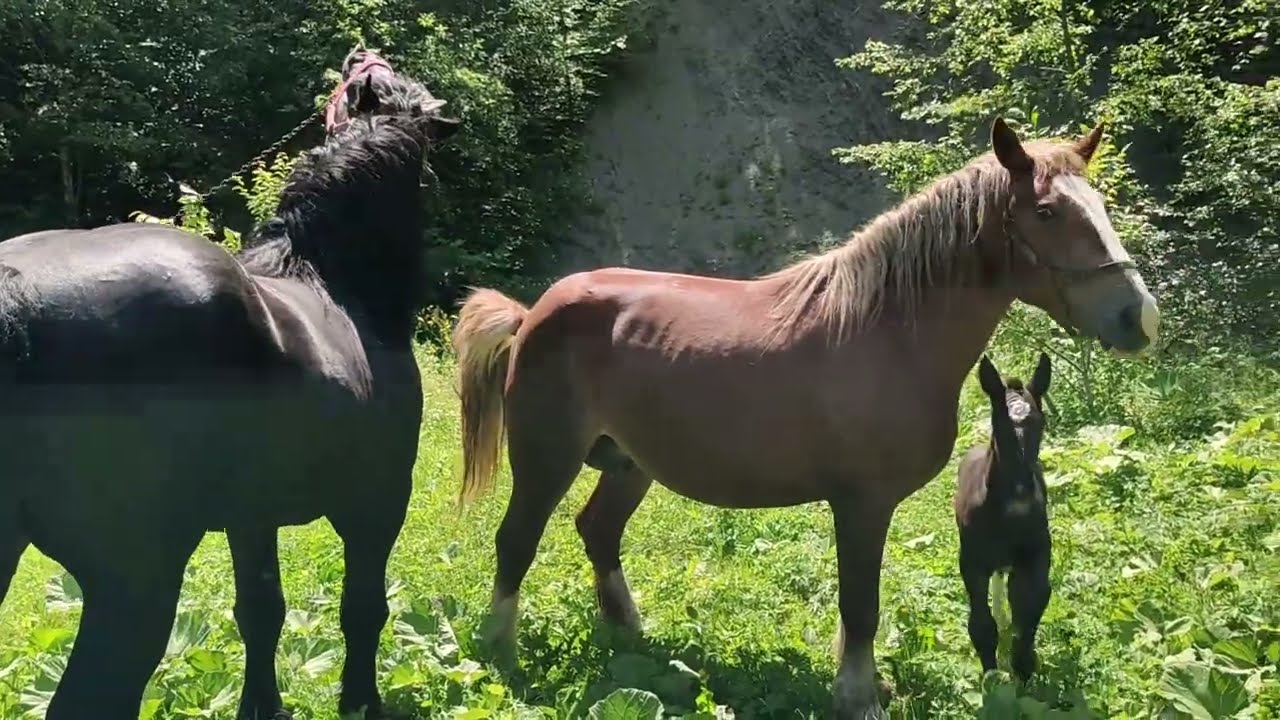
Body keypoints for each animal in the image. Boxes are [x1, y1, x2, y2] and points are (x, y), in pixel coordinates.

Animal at [0, 50, 460, 720]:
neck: (333, 280)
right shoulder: (376, 504)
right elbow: (363, 611)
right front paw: (361, 701)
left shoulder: (252, 515)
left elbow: (261, 613)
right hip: (136, 579)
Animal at [954, 353, 1053, 682]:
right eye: (999, 424)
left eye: (1040, 423)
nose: (1022, 493)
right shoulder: (972, 562)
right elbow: (981, 626)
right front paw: (992, 679)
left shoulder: (1036, 556)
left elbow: (1032, 607)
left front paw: (1023, 668)